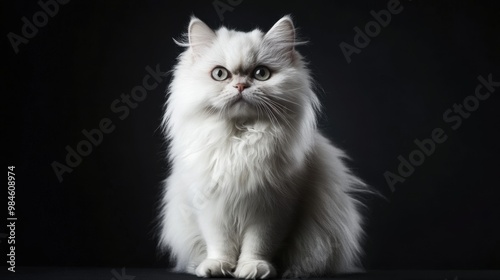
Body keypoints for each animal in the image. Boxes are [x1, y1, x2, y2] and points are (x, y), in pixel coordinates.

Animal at [160, 15, 368, 280]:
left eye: (261, 73)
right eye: (220, 74)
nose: (240, 86)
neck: (240, 139)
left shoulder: (273, 209)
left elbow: (258, 244)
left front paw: (253, 268)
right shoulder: (212, 207)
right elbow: (220, 244)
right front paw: (217, 267)